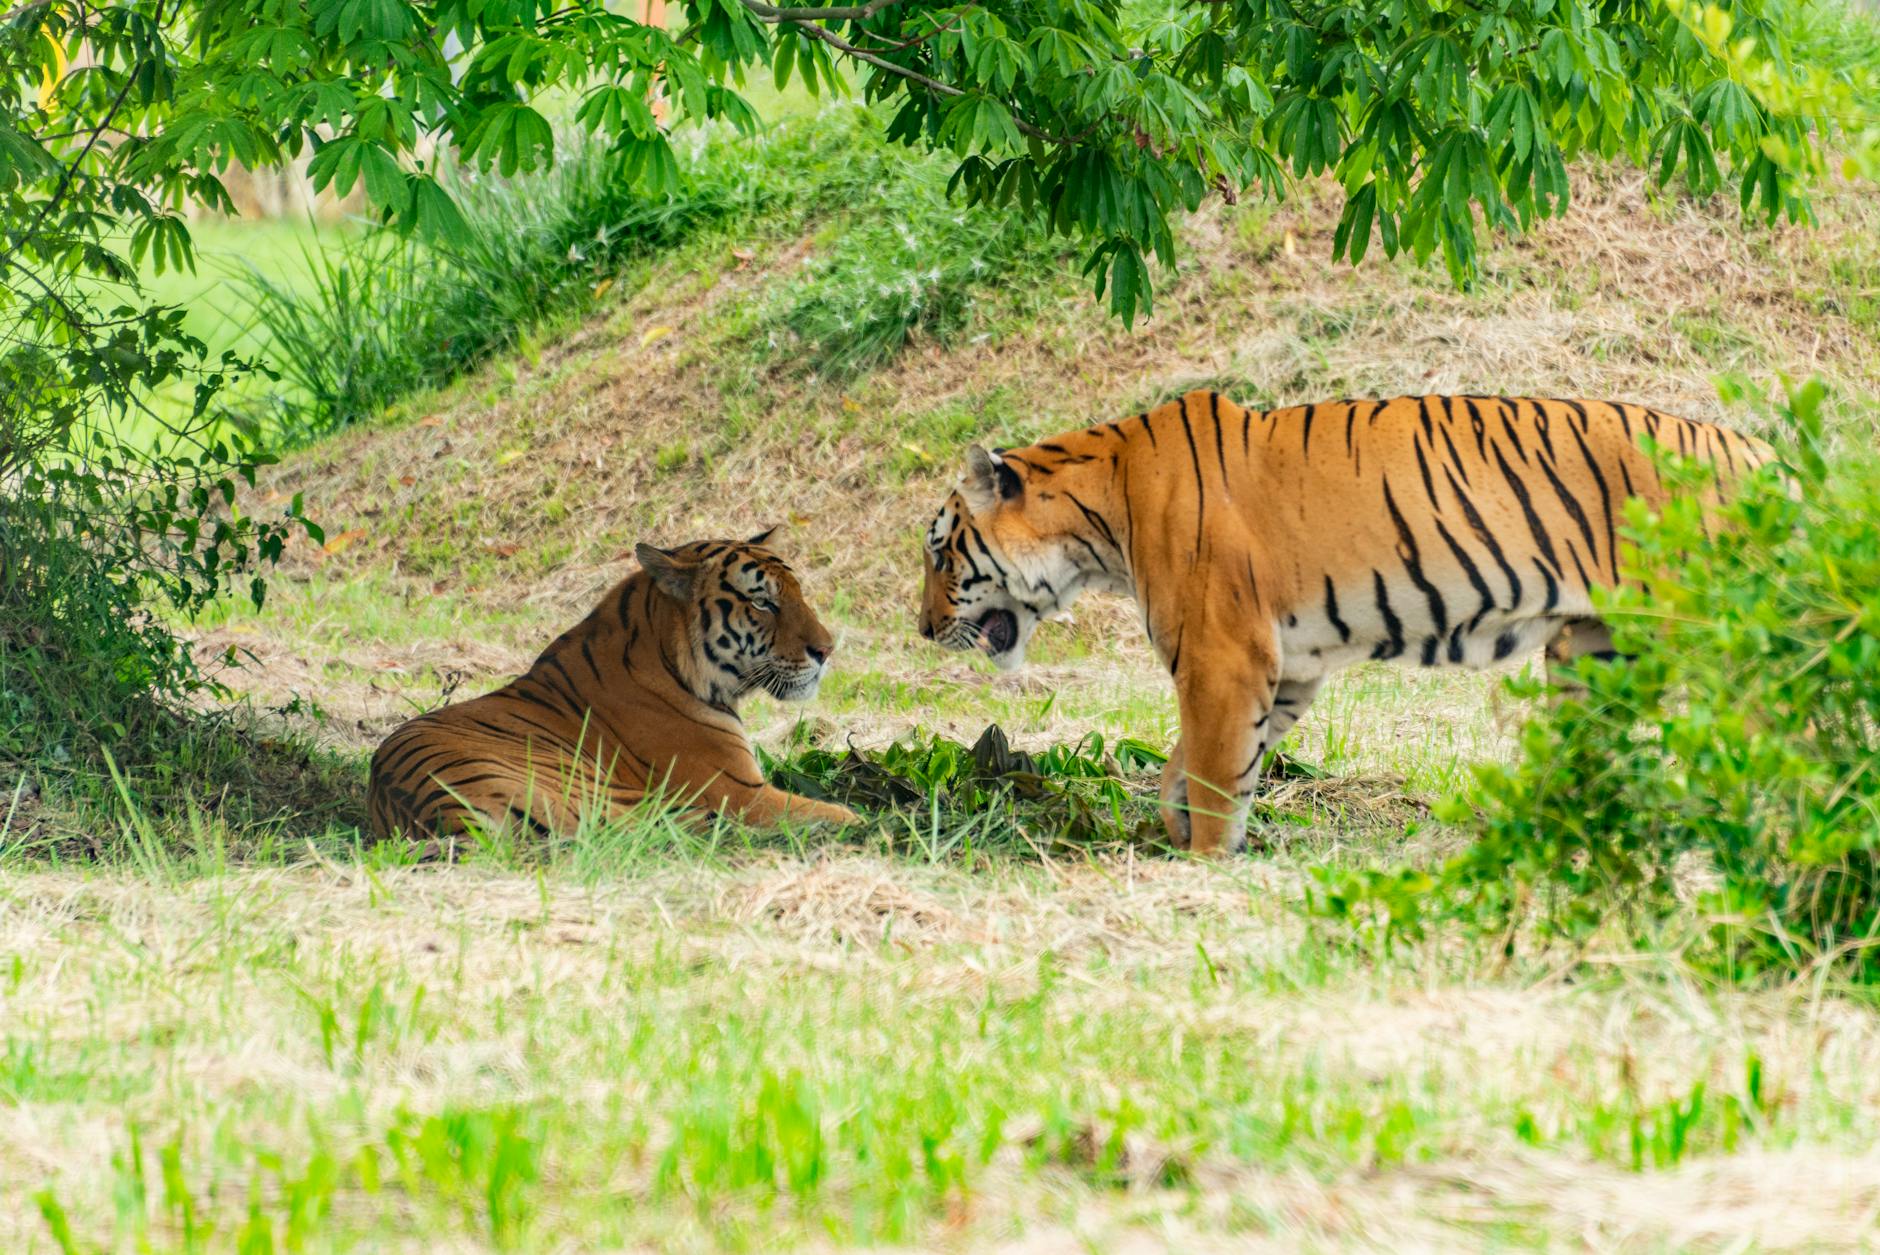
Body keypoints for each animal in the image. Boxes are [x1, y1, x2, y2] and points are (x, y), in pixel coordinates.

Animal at [367, 532, 859, 843]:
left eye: (798, 593)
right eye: (762, 603)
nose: (827, 650)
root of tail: (446, 816)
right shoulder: (741, 793)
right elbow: (834, 811)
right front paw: (857, 817)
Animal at [916, 391, 1776, 856]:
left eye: (939, 551)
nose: (923, 629)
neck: (1102, 511)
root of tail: (1758, 450)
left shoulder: (1222, 653)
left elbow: (1214, 765)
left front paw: (1201, 861)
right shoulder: (1286, 664)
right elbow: (1203, 763)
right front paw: (1180, 827)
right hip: (1597, 651)